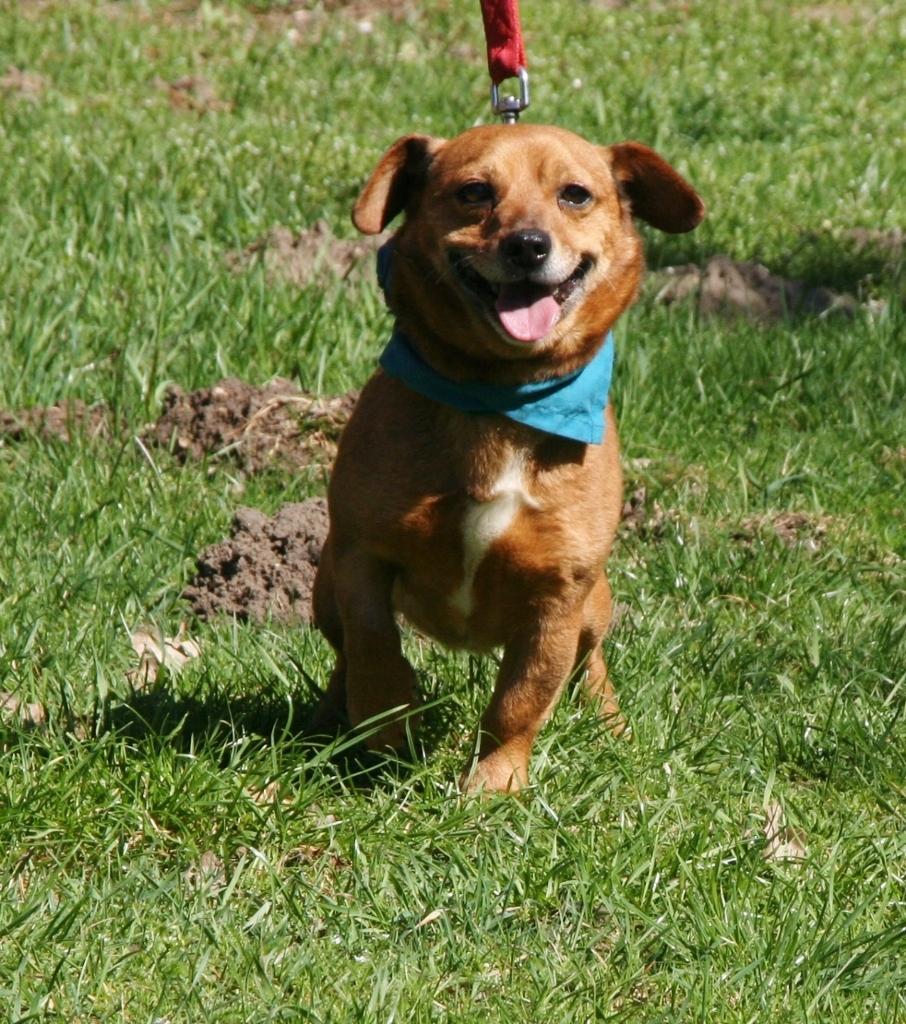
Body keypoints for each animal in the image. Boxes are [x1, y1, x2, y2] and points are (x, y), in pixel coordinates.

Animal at [311, 123, 704, 793]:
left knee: (590, 664)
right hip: (321, 584)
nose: (528, 245)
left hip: (596, 605)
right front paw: (387, 738)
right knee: (344, 652)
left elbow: (521, 699)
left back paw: (610, 728)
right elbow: (376, 650)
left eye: (575, 194)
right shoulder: (362, 556)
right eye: (474, 192)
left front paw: (493, 785)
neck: (500, 393)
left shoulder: (558, 596)